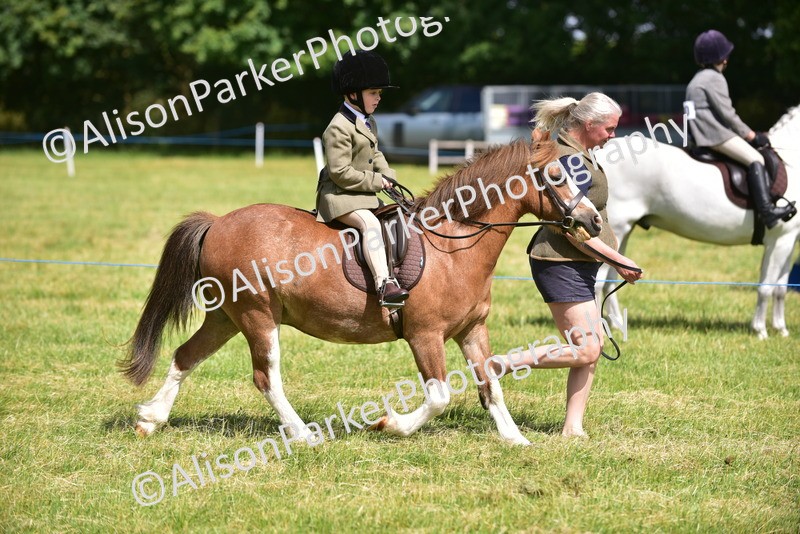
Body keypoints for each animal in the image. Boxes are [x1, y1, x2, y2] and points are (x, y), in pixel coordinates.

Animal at [120, 138, 604, 446]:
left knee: (185, 356)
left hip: (227, 316)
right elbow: (440, 396)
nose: (594, 221)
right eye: (557, 175)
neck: (453, 243)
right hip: (258, 316)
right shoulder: (425, 335)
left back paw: (151, 419)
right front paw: (390, 425)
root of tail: (217, 222)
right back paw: (304, 435)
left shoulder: (472, 330)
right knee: (265, 377)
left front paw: (514, 438)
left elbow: (491, 385)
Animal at [596, 105, 800, 339]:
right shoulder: (780, 239)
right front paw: (760, 331)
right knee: (599, 282)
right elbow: (766, 286)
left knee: (611, 277)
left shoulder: (788, 240)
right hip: (618, 229)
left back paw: (618, 325)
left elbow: (781, 288)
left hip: (624, 231)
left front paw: (781, 329)